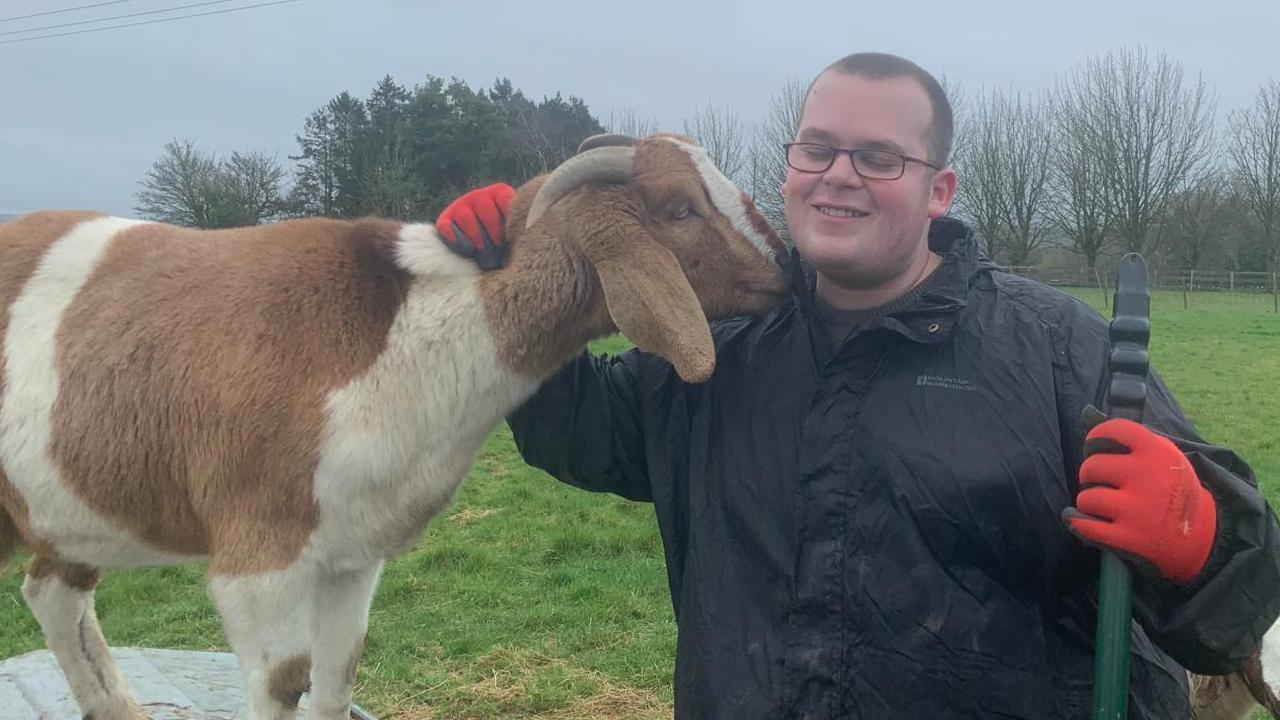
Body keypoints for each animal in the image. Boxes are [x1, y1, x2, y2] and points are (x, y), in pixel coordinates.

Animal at [0, 133, 788, 717]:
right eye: (680, 209)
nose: (784, 264)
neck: (406, 332)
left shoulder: (353, 551)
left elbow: (336, 680)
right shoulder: (261, 557)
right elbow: (285, 685)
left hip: (65, 514)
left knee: (53, 596)